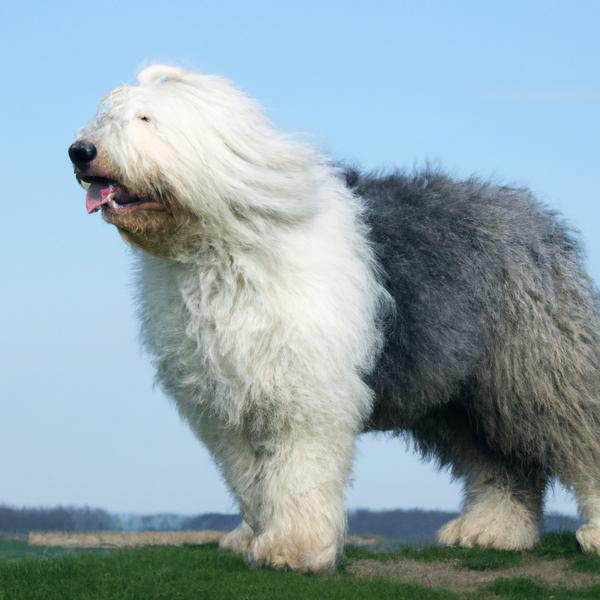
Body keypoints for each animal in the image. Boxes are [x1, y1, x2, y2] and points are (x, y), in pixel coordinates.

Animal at [68, 65, 600, 572]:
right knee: (501, 462)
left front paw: (292, 550)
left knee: (577, 431)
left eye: (145, 119)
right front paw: (256, 536)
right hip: (457, 392)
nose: (80, 151)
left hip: (539, 367)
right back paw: (493, 530)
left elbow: (297, 471)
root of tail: (532, 213)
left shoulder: (304, 392)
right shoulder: (225, 404)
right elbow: (249, 478)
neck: (222, 246)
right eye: (104, 117)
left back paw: (587, 533)